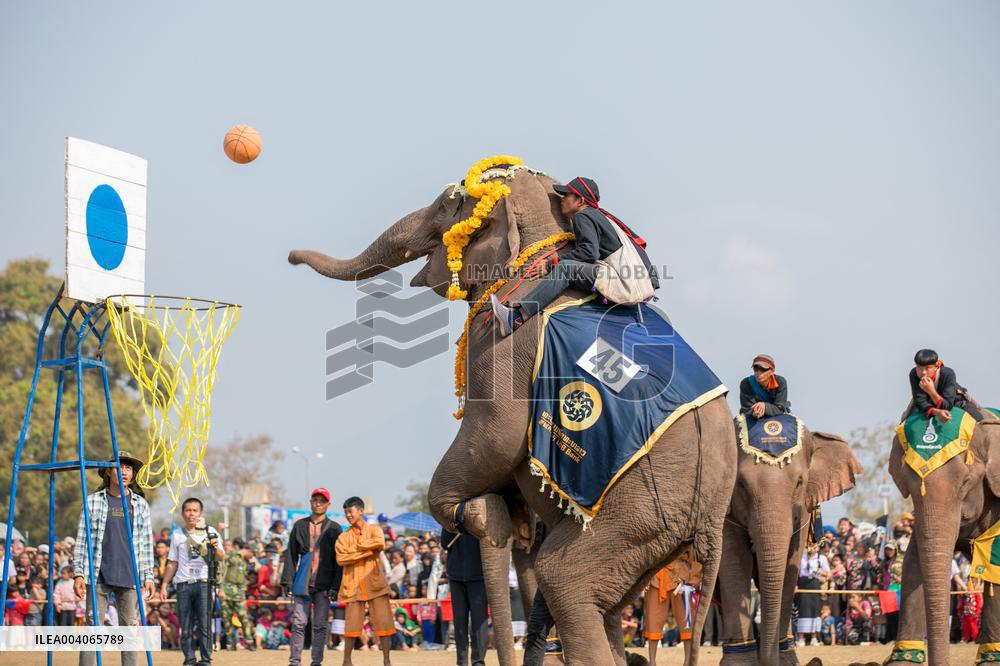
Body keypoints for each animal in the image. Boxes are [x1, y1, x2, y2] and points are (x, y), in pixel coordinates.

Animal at [288, 165, 738, 665]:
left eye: (446, 205)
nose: (289, 257)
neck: (545, 241)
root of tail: (710, 522)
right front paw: (508, 518)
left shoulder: (503, 345)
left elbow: (496, 436)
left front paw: (480, 513)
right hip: (653, 533)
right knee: (604, 600)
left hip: (636, 512)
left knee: (564, 578)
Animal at [719, 425, 861, 666]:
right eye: (741, 484)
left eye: (800, 483)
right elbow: (735, 565)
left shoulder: (803, 513)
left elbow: (790, 567)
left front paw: (786, 659)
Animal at [886, 411, 1000, 666]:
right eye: (907, 485)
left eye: (966, 483)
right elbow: (913, 563)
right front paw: (903, 661)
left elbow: (996, 567)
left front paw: (992, 661)